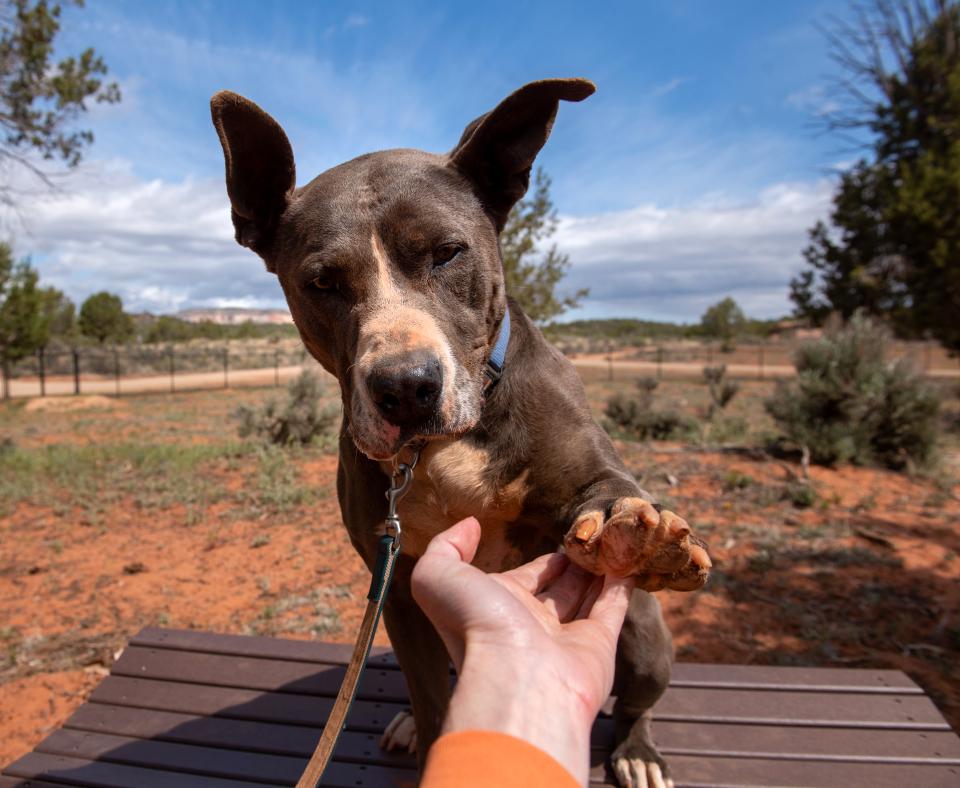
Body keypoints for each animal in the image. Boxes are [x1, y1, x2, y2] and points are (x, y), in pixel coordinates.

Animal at [212, 78, 704, 788]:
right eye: (321, 281)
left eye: (447, 252)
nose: (405, 387)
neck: (443, 447)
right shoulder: (397, 585)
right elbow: (431, 694)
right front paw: (429, 733)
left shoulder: (581, 474)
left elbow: (604, 489)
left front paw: (633, 534)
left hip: (642, 637)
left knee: (635, 700)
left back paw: (637, 749)